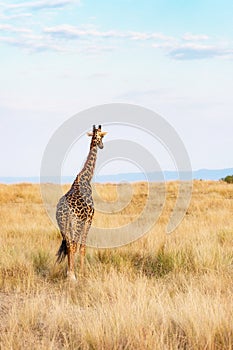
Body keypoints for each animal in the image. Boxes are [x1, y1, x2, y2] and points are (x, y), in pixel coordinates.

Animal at [56, 124, 107, 280]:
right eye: (102, 136)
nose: (102, 145)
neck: (86, 178)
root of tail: (64, 211)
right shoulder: (89, 219)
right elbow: (83, 247)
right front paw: (83, 273)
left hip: (63, 225)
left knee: (68, 245)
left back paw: (69, 274)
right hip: (76, 224)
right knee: (73, 245)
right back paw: (72, 276)